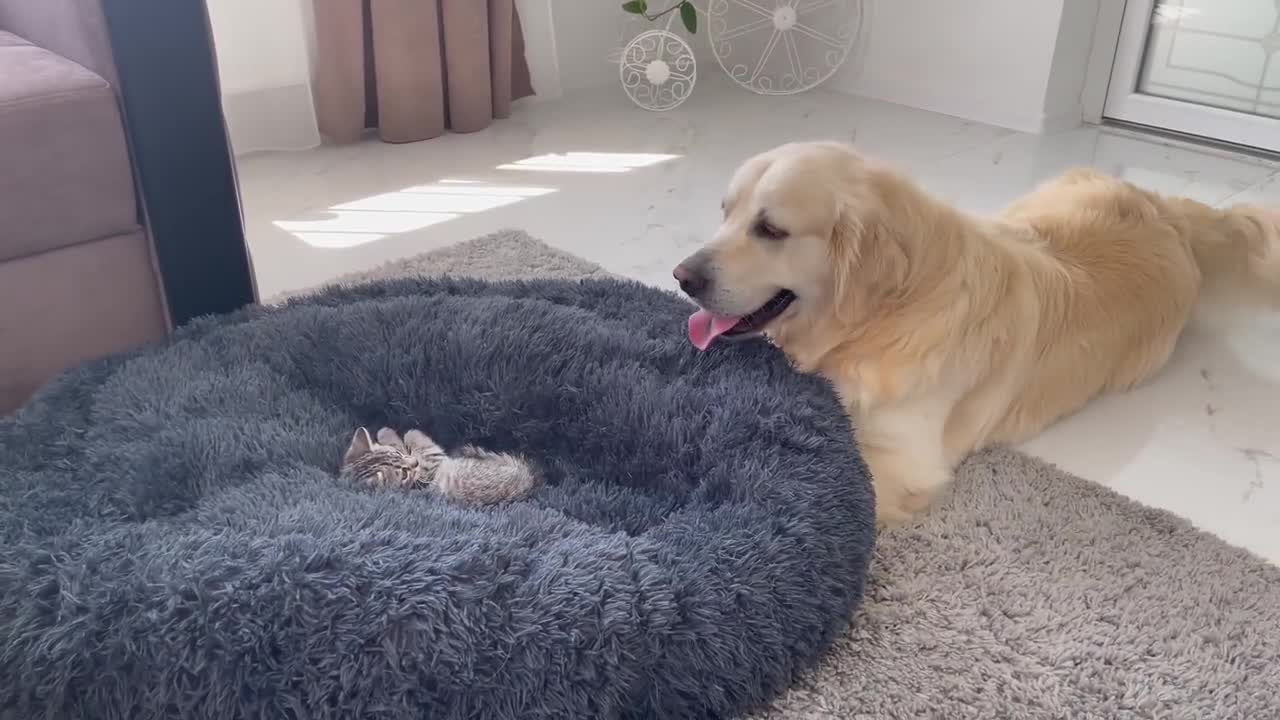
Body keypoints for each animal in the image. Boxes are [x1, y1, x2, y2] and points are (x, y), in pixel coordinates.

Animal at [337, 422, 537, 502]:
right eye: (403, 474)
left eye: (397, 454)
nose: (414, 462)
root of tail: (526, 480)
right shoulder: (433, 464)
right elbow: (418, 441)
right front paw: (407, 432)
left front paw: (386, 433)